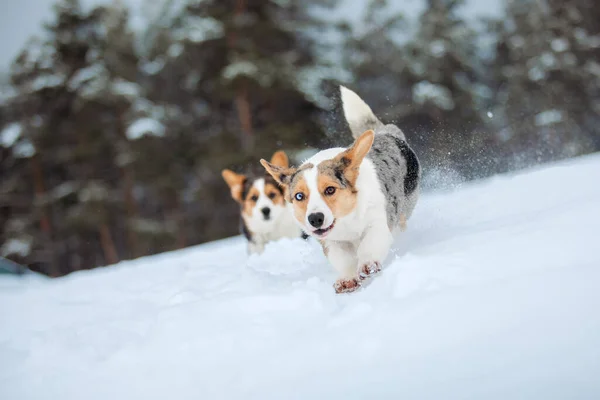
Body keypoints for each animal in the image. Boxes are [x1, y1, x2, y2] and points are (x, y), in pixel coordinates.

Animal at [260, 86, 420, 294]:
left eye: (330, 190)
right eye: (299, 196)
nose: (315, 219)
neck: (346, 221)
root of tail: (385, 131)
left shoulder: (378, 223)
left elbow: (370, 243)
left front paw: (367, 265)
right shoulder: (332, 242)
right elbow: (342, 259)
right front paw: (347, 280)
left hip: (403, 212)